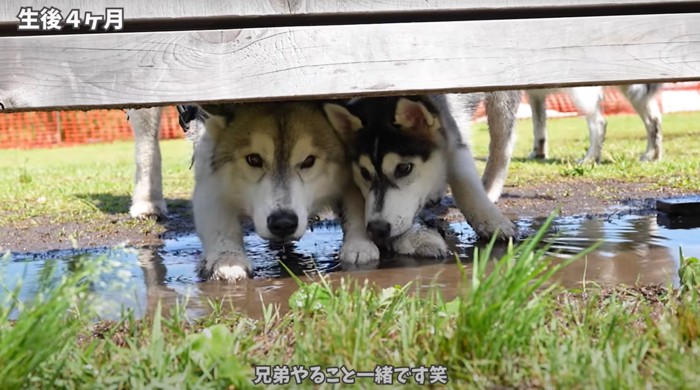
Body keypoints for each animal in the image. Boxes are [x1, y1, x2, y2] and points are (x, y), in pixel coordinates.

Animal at [190, 102, 378, 282]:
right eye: (254, 159)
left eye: (308, 161)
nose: (283, 223)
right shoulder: (210, 180)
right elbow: (220, 225)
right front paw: (228, 259)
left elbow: (355, 204)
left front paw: (359, 244)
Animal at [324, 92, 520, 254]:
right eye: (364, 172)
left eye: (404, 168)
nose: (377, 229)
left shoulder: (451, 125)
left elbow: (463, 178)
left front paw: (490, 221)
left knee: (501, 144)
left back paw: (490, 188)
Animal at [532, 84, 660, 163]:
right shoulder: (536, 95)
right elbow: (539, 124)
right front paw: (537, 153)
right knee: (653, 120)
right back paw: (651, 155)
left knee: (599, 122)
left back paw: (590, 159)